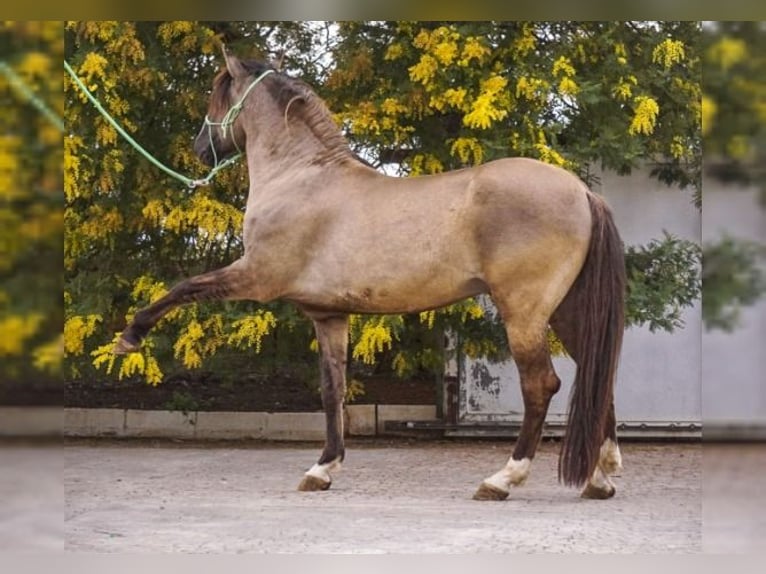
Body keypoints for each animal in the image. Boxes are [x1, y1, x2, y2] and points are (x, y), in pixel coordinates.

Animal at [115, 50, 626, 501]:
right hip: (566, 310)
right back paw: (600, 479)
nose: (201, 149)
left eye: (217, 92)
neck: (302, 178)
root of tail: (582, 193)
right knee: (597, 373)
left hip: (524, 312)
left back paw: (501, 480)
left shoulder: (255, 278)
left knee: (541, 385)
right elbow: (333, 390)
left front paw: (130, 337)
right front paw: (322, 469)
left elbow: (183, 288)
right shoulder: (328, 315)